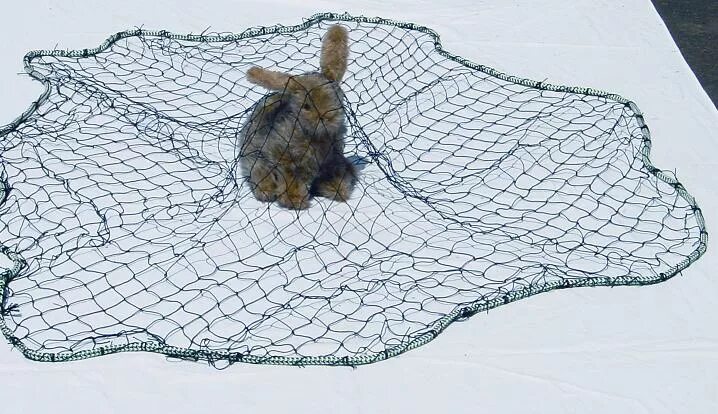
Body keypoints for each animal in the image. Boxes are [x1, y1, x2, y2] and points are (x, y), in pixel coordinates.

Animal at [239, 23, 358, 209]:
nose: (328, 118)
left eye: (337, 99)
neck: (316, 136)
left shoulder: (332, 158)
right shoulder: (284, 158)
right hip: (255, 159)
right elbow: (290, 180)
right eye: (306, 106)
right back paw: (266, 192)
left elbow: (334, 173)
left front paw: (339, 190)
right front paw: (294, 201)